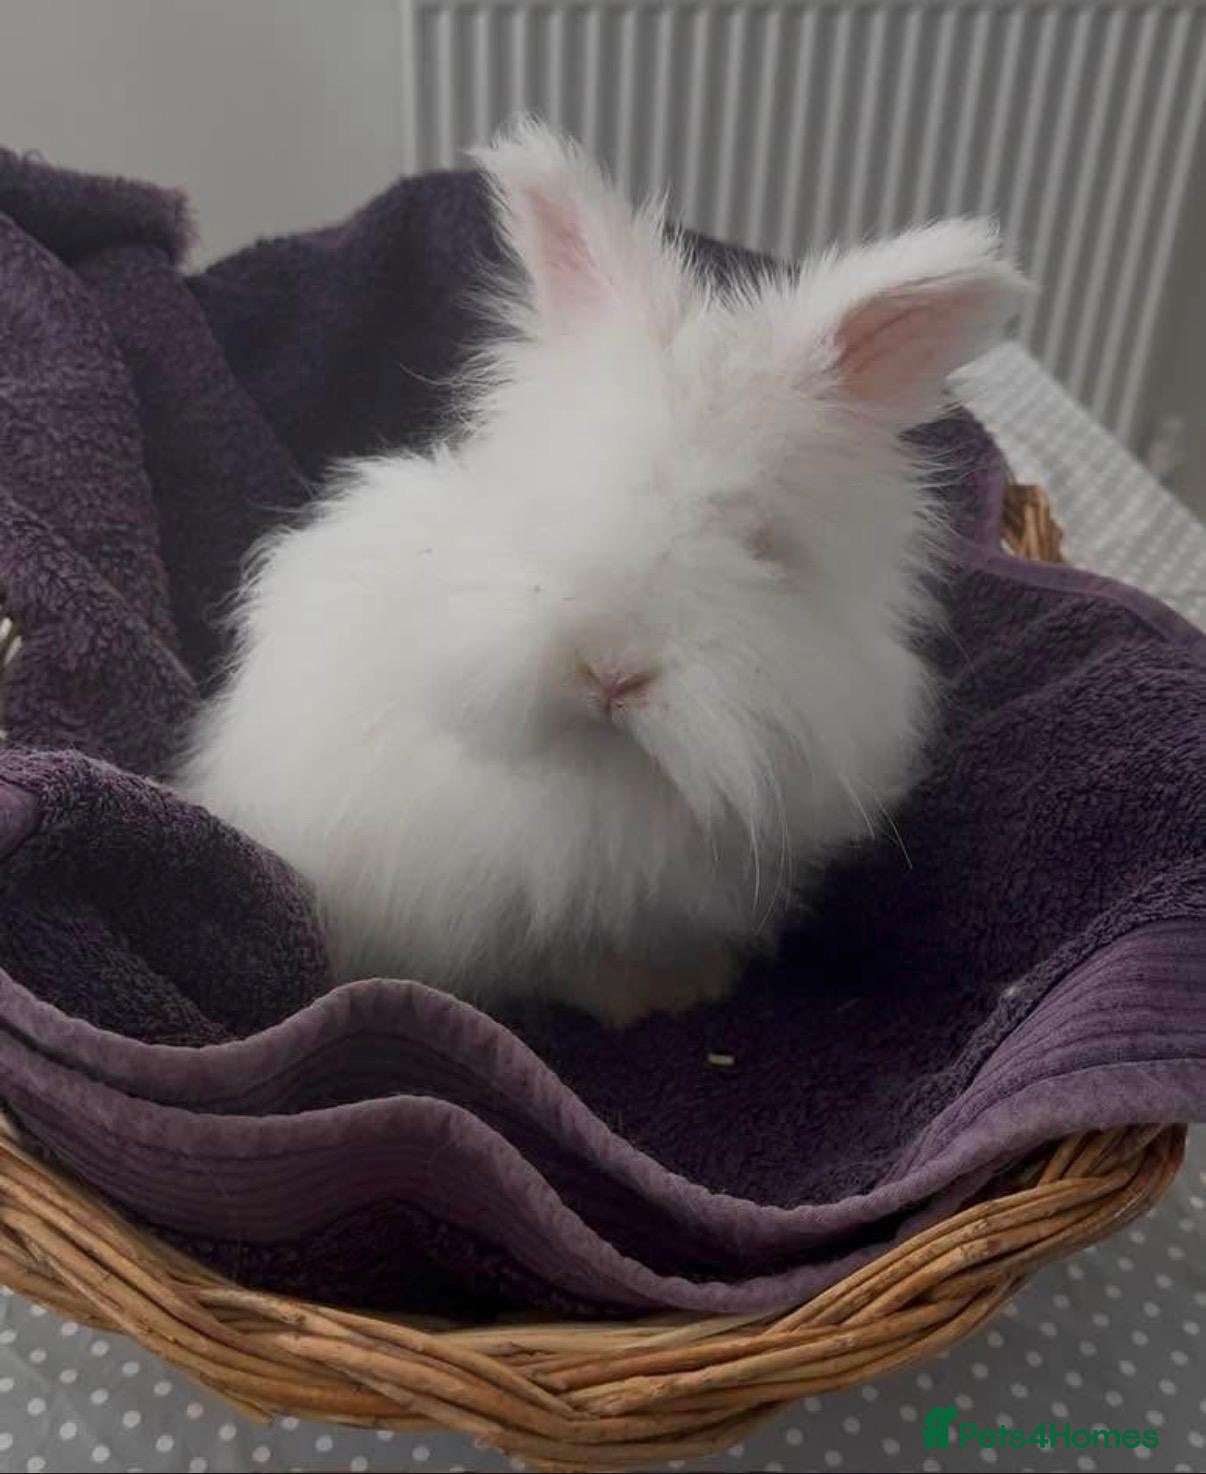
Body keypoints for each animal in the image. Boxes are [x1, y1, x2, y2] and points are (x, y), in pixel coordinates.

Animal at [176, 120, 1029, 1027]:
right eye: (559, 495)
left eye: (760, 544)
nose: (612, 673)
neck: (615, 773)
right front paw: (642, 1001)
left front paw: (695, 983)